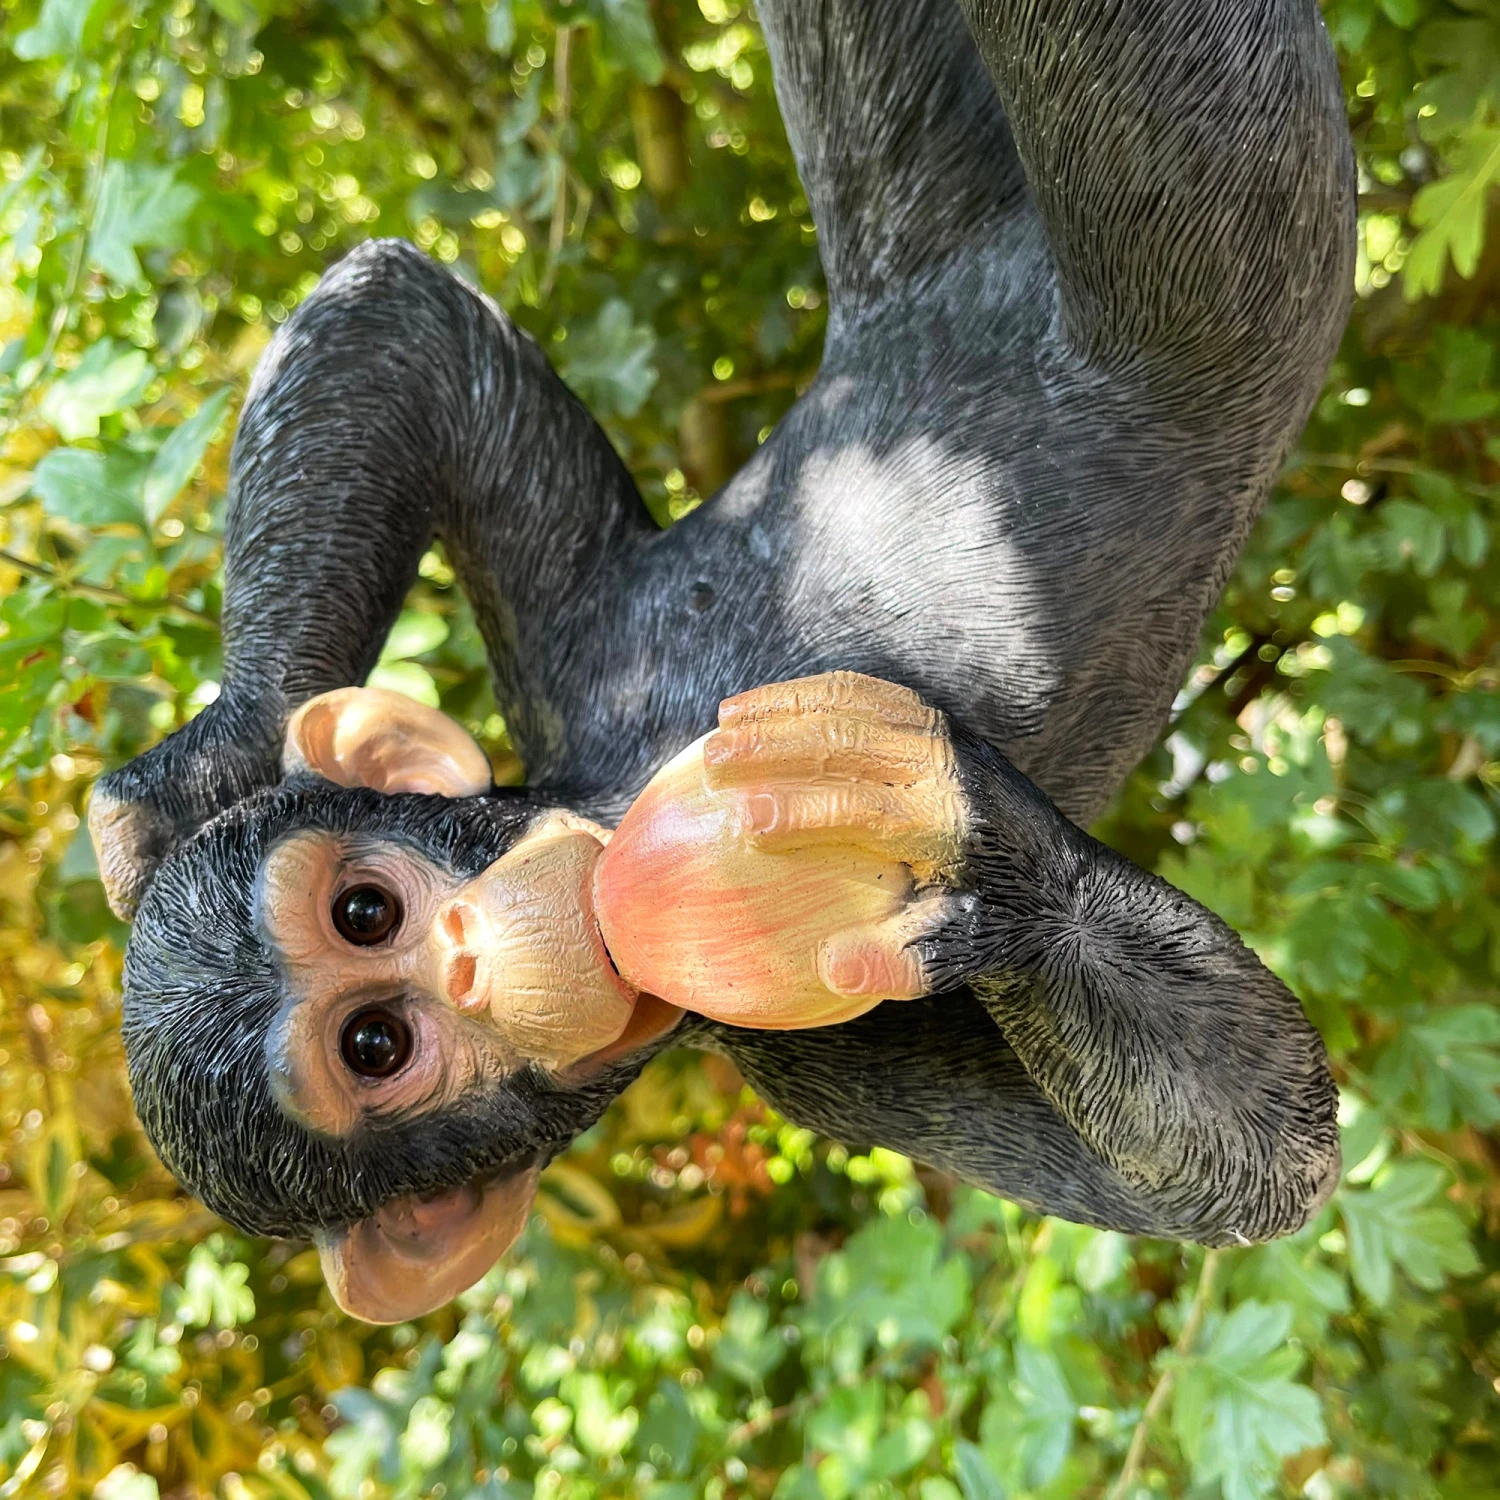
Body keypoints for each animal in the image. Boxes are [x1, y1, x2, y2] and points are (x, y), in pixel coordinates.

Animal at [88, 0, 1355, 1323]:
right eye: (375, 1045)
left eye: (364, 910)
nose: (471, 957)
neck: (610, 795)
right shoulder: (823, 1069)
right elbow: (1255, 1167)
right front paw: (992, 852)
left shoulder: (579, 657)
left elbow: (407, 326)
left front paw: (214, 753)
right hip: (1210, 249)